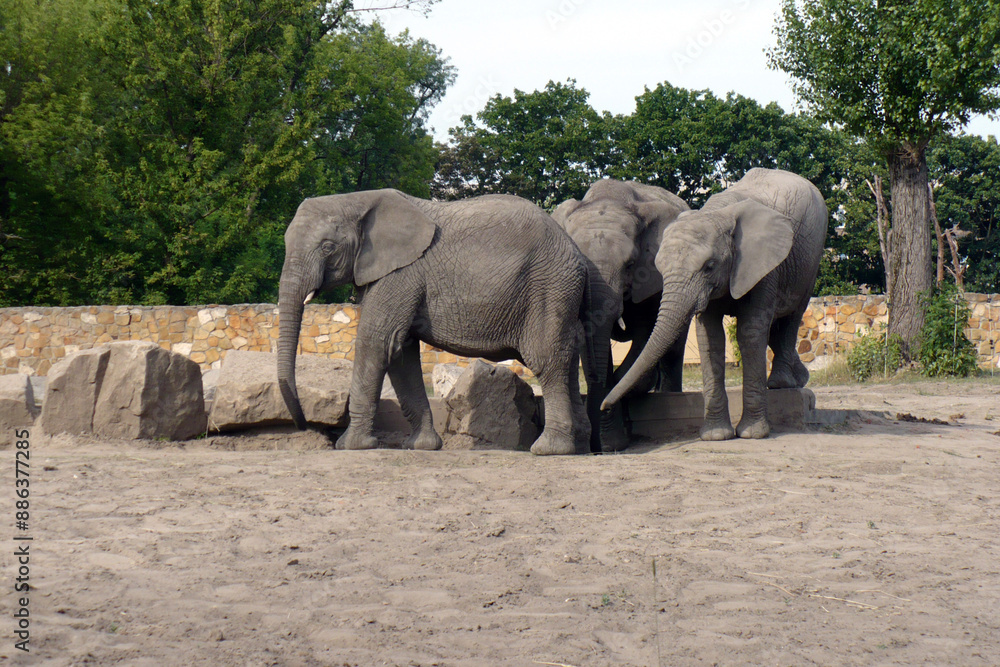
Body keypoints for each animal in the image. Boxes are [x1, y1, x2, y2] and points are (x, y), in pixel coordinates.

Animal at [277, 188, 595, 456]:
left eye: (327, 247)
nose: (302, 425)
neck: (357, 199)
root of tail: (575, 250)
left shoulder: (401, 274)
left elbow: (377, 342)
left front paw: (351, 446)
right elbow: (400, 352)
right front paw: (421, 446)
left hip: (549, 287)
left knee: (547, 360)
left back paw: (549, 449)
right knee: (568, 357)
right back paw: (579, 447)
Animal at [552, 179, 690, 452]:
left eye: (630, 265)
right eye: (579, 260)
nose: (595, 447)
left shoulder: (649, 278)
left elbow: (645, 334)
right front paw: (611, 443)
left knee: (673, 349)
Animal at [602, 168, 828, 440]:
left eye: (709, 266)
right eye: (660, 268)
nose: (603, 407)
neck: (718, 214)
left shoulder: (763, 267)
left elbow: (750, 331)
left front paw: (752, 434)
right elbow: (709, 337)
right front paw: (716, 435)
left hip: (811, 261)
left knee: (791, 318)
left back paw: (781, 384)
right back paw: (799, 378)